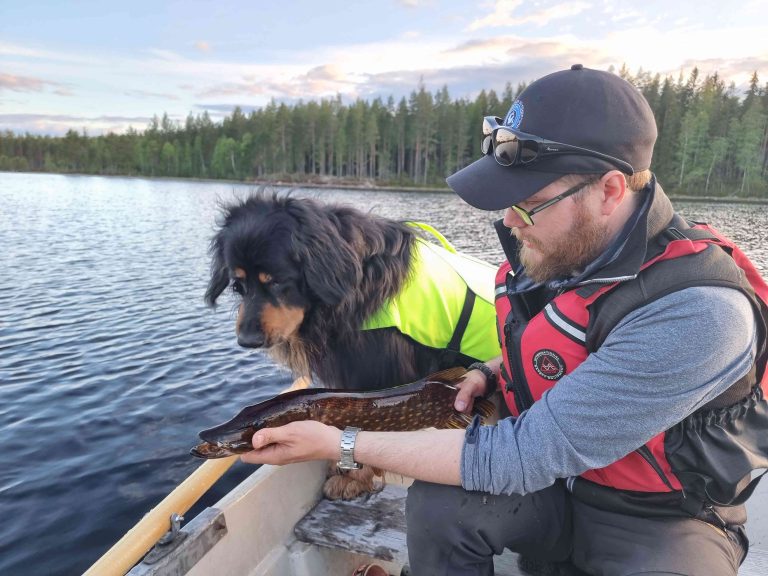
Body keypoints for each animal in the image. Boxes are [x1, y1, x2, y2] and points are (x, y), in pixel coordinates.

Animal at [204, 194, 498, 500]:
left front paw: (353, 480)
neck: (359, 288)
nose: (246, 340)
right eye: (236, 284)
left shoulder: (382, 373)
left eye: (276, 280)